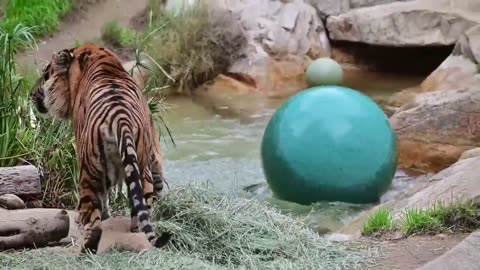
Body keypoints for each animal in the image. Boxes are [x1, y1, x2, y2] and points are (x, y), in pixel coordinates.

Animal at [31, 43, 172, 252]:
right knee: (142, 205)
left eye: (45, 74)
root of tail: (121, 120)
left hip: (88, 172)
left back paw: (86, 247)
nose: (31, 94)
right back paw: (136, 230)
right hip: (141, 167)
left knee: (92, 217)